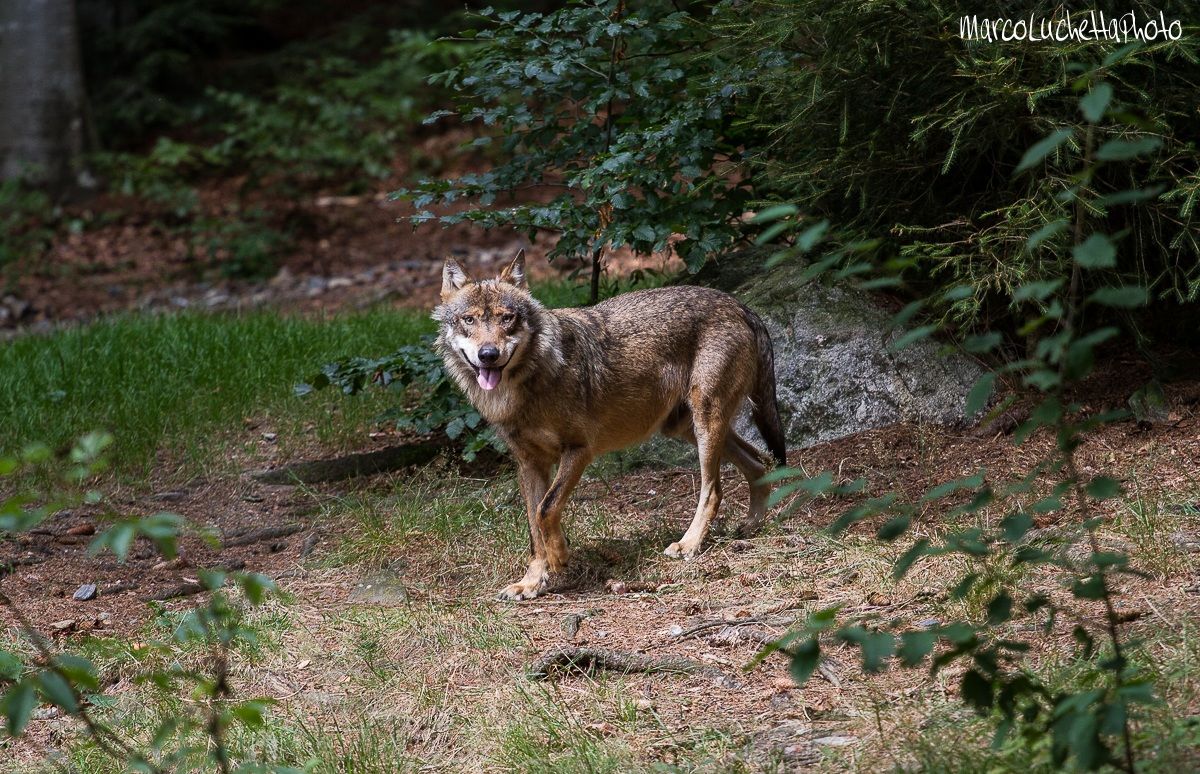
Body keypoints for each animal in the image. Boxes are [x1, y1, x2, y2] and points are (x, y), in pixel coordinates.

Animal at [434, 250, 787, 600]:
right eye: (469, 320)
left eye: (506, 318)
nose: (488, 354)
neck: (530, 384)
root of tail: (737, 303)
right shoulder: (529, 464)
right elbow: (534, 527)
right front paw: (531, 582)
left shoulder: (579, 451)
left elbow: (546, 509)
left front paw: (559, 557)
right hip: (684, 428)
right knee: (759, 461)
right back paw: (752, 525)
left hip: (704, 423)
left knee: (713, 490)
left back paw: (689, 544)